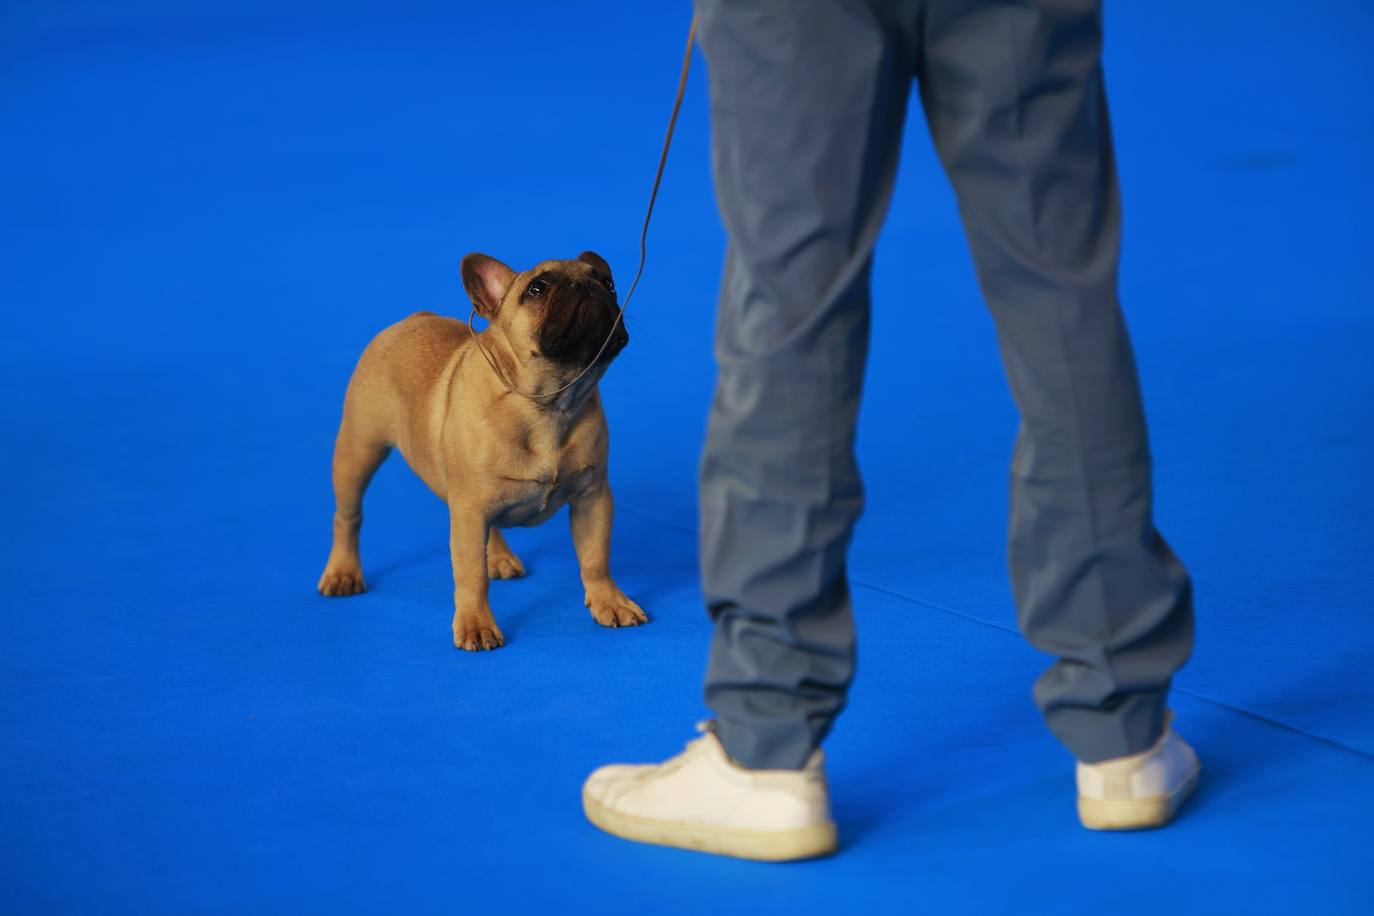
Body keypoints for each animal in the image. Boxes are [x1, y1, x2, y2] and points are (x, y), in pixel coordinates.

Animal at [318, 251, 645, 650]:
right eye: (538, 288)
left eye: (607, 283)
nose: (586, 284)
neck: (550, 403)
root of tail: (413, 318)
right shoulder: (470, 510)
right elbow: (471, 573)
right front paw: (476, 623)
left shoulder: (592, 497)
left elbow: (596, 558)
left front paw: (609, 601)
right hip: (358, 451)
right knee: (348, 517)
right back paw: (342, 572)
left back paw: (500, 556)